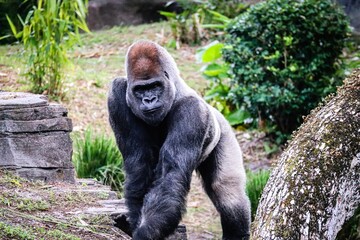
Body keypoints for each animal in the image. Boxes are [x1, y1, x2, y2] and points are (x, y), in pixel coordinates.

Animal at [107, 40, 250, 239]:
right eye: (140, 89)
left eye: (155, 86)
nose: (149, 99)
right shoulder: (117, 95)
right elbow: (138, 166)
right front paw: (135, 224)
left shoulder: (193, 110)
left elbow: (171, 174)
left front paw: (144, 232)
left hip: (225, 130)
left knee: (226, 190)